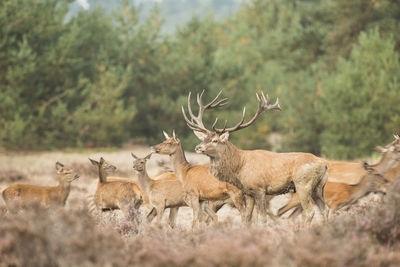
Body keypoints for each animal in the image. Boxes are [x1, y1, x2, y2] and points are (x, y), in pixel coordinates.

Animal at [184, 91, 328, 225]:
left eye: (215, 140)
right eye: (204, 138)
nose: (198, 147)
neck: (239, 167)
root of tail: (324, 165)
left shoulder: (260, 189)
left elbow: (262, 219)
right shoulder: (248, 192)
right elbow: (247, 218)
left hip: (303, 184)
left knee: (310, 211)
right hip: (318, 188)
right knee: (325, 209)